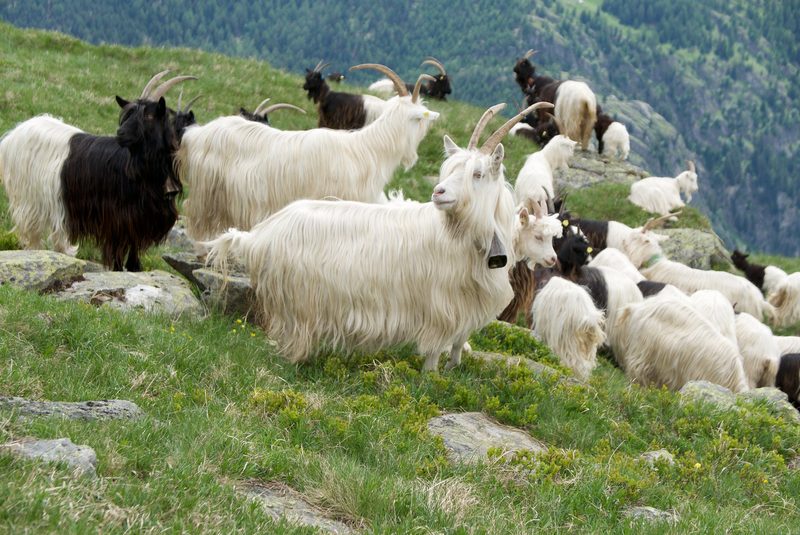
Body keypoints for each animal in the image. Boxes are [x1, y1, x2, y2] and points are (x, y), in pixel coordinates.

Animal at [0, 72, 192, 270]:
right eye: (128, 115)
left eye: (149, 115)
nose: (120, 133)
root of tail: (12, 136)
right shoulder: (117, 219)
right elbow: (117, 251)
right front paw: (117, 269)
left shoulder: (141, 220)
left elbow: (134, 250)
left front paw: (133, 268)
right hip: (29, 199)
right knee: (33, 234)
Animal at [203, 103, 548, 371]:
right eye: (448, 169)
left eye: (477, 174)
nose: (439, 192)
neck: (462, 238)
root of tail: (262, 233)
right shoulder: (441, 304)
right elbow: (436, 347)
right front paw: (432, 378)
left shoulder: (467, 302)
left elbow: (458, 341)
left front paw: (454, 368)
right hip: (300, 301)